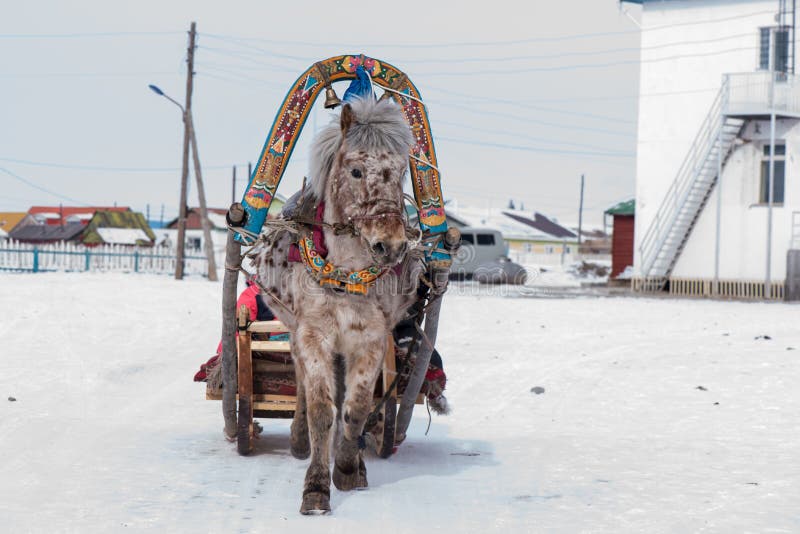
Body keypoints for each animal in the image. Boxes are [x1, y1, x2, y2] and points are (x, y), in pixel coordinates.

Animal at [252, 96, 422, 514]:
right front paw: (315, 486)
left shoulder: (371, 338)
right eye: (356, 170)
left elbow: (356, 407)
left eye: (401, 174)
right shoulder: (314, 335)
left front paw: (347, 467)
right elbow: (321, 408)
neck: (347, 274)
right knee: (300, 380)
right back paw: (299, 439)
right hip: (293, 330)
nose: (391, 245)